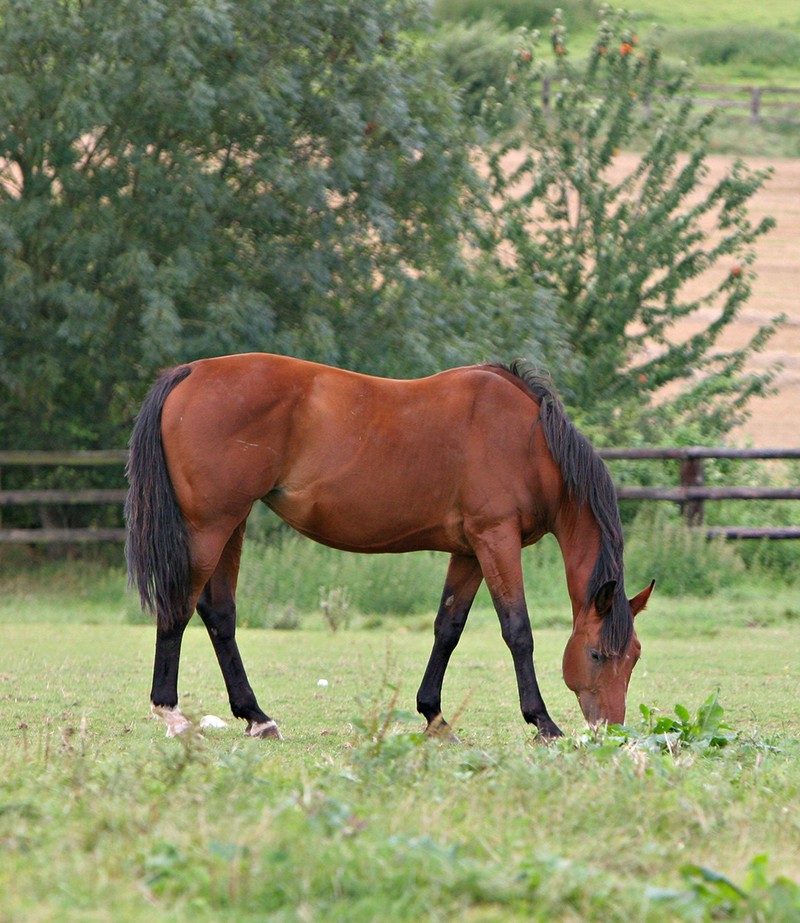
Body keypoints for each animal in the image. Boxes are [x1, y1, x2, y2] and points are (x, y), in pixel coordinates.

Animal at [123, 356, 648, 744]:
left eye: (635, 657)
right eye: (597, 654)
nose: (611, 729)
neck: (530, 441)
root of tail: (190, 372)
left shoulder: (470, 550)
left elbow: (448, 628)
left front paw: (434, 717)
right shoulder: (496, 539)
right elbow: (518, 631)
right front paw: (543, 722)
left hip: (230, 525)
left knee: (219, 614)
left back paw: (256, 716)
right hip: (210, 527)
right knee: (180, 606)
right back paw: (172, 714)